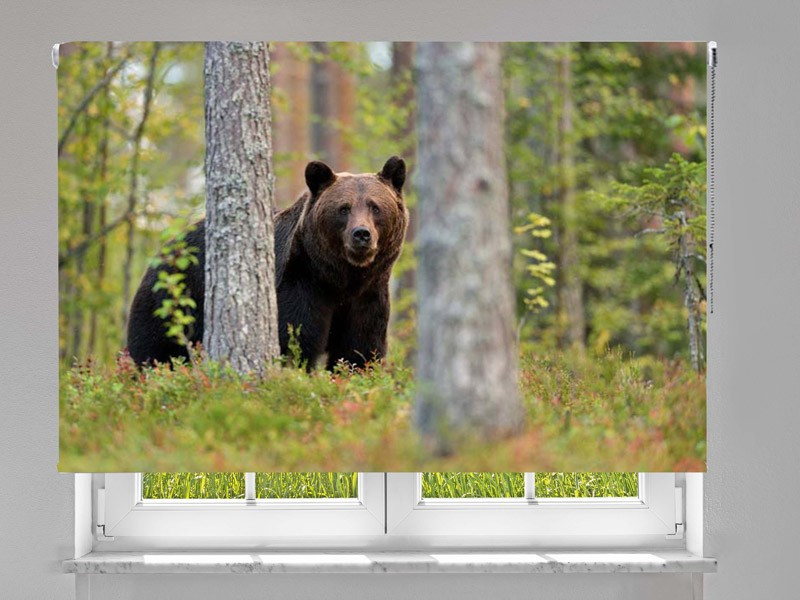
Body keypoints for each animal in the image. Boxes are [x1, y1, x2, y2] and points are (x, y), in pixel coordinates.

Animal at [126, 156, 408, 370]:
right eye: (344, 208)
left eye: (375, 207)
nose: (361, 234)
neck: (341, 278)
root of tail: (165, 249)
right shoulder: (300, 283)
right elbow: (295, 340)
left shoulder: (367, 297)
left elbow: (358, 351)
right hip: (173, 299)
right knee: (154, 349)